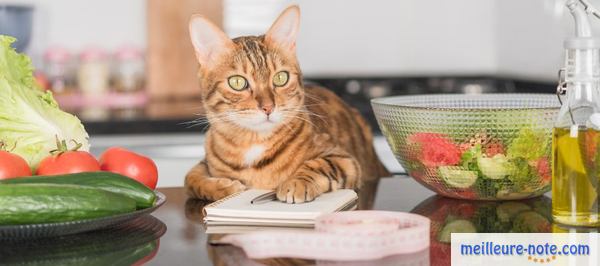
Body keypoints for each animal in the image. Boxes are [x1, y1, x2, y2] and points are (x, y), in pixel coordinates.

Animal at [184, 4, 390, 204]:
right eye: (237, 82)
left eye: (281, 78)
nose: (268, 107)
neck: (253, 143)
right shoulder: (204, 162)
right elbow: (190, 179)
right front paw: (224, 188)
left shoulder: (345, 159)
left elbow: (320, 164)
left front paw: (297, 182)